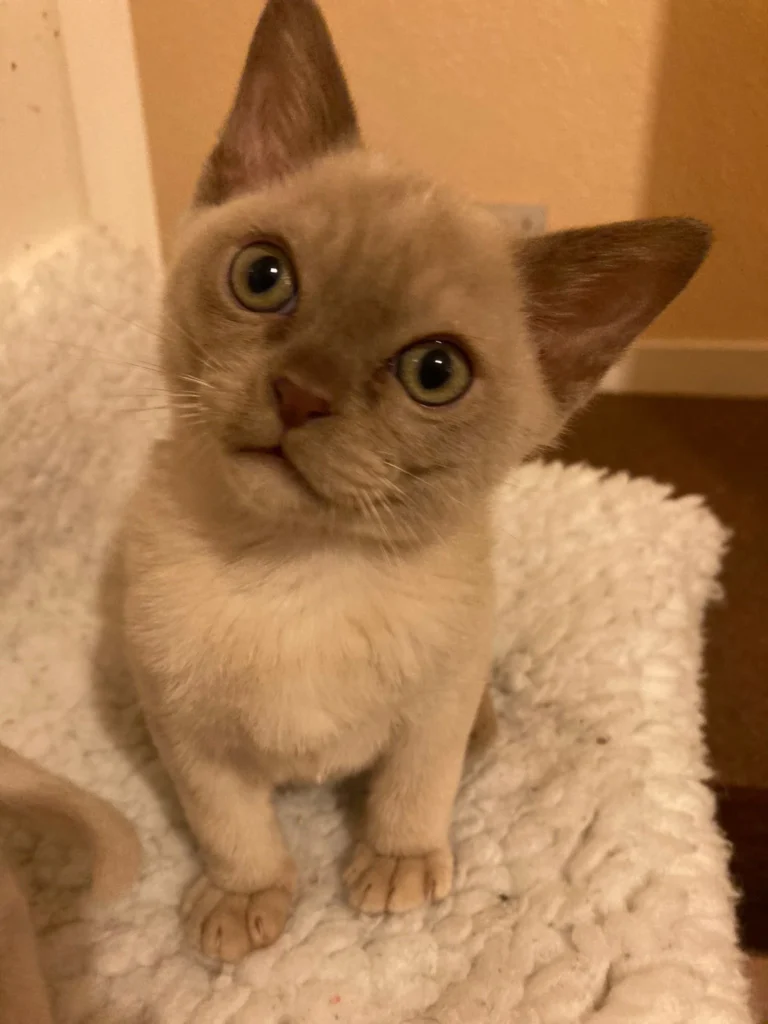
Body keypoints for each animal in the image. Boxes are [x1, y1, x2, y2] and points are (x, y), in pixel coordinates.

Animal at [117, 0, 712, 962]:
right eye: (262, 277)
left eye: (435, 373)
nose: (300, 394)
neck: (296, 570)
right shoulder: (189, 730)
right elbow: (232, 826)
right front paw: (245, 899)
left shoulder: (436, 700)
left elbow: (413, 788)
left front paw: (395, 867)